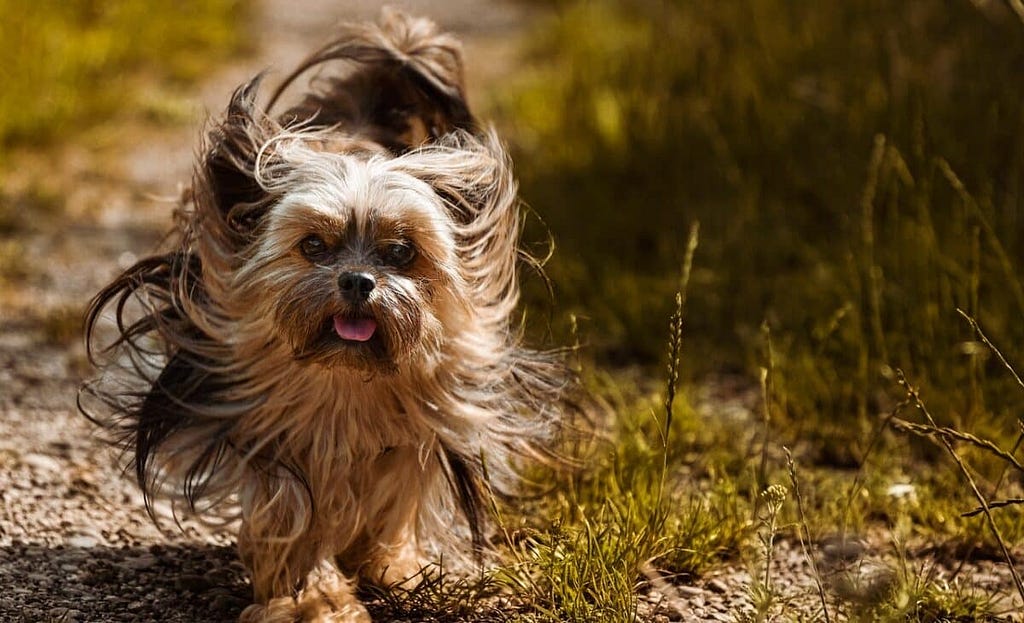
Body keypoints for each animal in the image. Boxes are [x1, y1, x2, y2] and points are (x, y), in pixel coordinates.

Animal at [81, 10, 569, 623]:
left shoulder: (421, 427)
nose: (357, 281)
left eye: (401, 251)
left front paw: (389, 568)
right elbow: (290, 510)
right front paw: (311, 599)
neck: (344, 380)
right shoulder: (267, 429)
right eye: (313, 245)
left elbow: (394, 495)